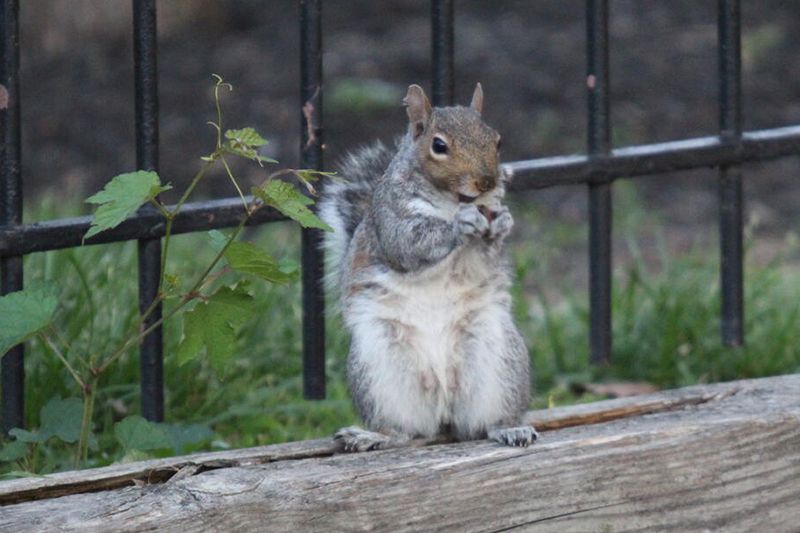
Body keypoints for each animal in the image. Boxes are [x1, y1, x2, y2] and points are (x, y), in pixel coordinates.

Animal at [319, 83, 537, 452]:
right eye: (439, 146)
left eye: (497, 140)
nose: (487, 181)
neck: (452, 201)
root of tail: (444, 403)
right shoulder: (392, 219)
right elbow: (409, 244)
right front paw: (459, 225)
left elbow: (487, 255)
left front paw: (503, 223)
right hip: (380, 367)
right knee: (406, 432)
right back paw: (372, 436)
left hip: (498, 358)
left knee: (483, 423)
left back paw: (510, 429)